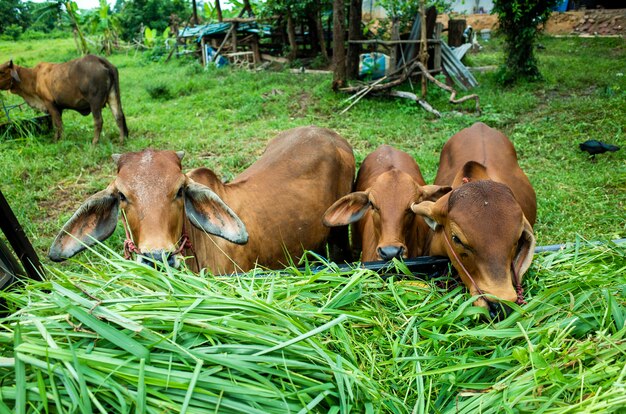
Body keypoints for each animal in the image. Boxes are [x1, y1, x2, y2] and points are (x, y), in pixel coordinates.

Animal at [0, 54, 128, 146]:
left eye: (2, 72)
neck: (33, 78)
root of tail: (101, 60)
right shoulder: (58, 107)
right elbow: (56, 123)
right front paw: (57, 138)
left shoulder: (49, 103)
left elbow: (58, 124)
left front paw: (60, 141)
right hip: (113, 95)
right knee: (119, 116)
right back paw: (122, 140)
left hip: (95, 102)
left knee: (99, 121)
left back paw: (94, 142)